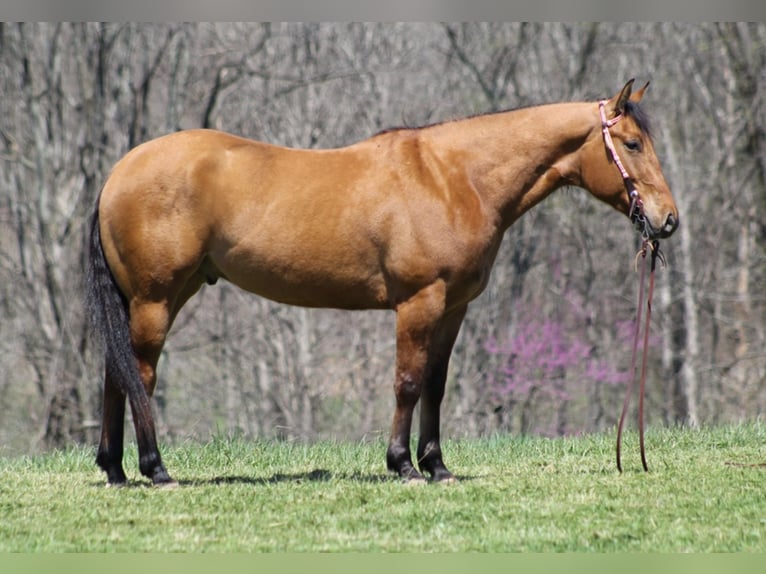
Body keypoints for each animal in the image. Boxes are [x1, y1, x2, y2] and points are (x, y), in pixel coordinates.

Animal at [87, 80, 680, 486]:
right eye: (631, 144)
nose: (668, 220)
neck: (453, 178)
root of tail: (118, 172)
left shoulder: (454, 307)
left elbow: (436, 385)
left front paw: (436, 465)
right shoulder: (420, 302)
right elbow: (408, 382)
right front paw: (403, 465)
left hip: (162, 294)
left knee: (116, 374)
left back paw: (114, 470)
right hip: (156, 298)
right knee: (140, 374)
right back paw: (155, 468)